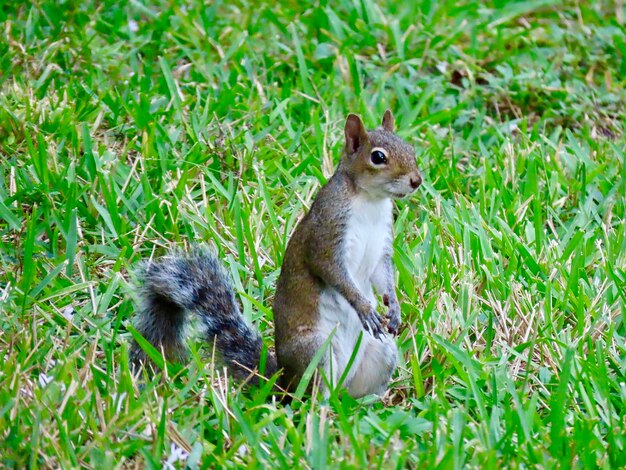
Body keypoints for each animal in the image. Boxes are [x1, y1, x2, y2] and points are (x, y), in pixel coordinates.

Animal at [130, 110, 420, 396]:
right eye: (378, 157)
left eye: (410, 148)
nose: (416, 181)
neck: (370, 201)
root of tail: (283, 383)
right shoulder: (326, 235)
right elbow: (332, 271)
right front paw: (364, 307)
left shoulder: (381, 245)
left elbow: (382, 276)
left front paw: (393, 308)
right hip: (315, 352)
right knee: (311, 397)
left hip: (381, 352)